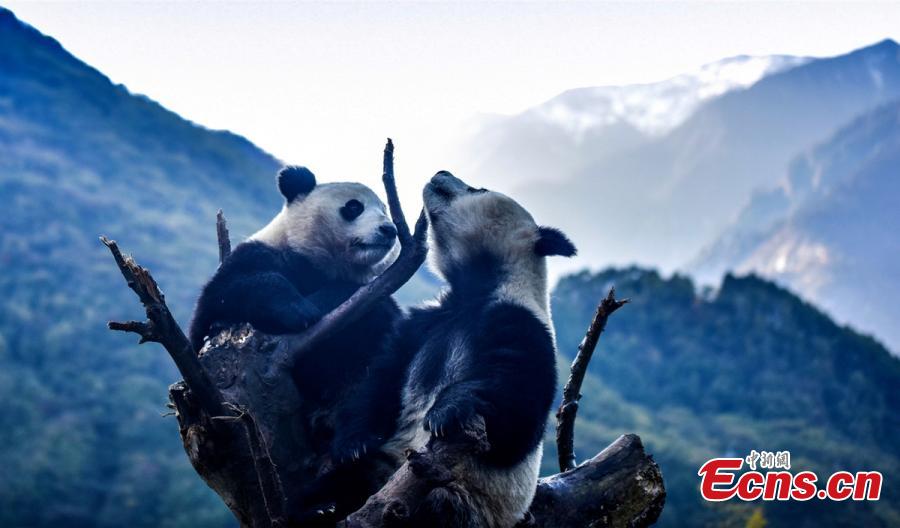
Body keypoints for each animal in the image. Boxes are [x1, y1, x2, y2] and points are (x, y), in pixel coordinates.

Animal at [332, 171, 576, 524]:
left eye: (479, 188)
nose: (441, 173)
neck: (476, 288)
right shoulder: (424, 324)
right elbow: (382, 379)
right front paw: (353, 443)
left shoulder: (523, 324)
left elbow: (518, 406)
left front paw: (446, 409)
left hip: (465, 503)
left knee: (438, 505)